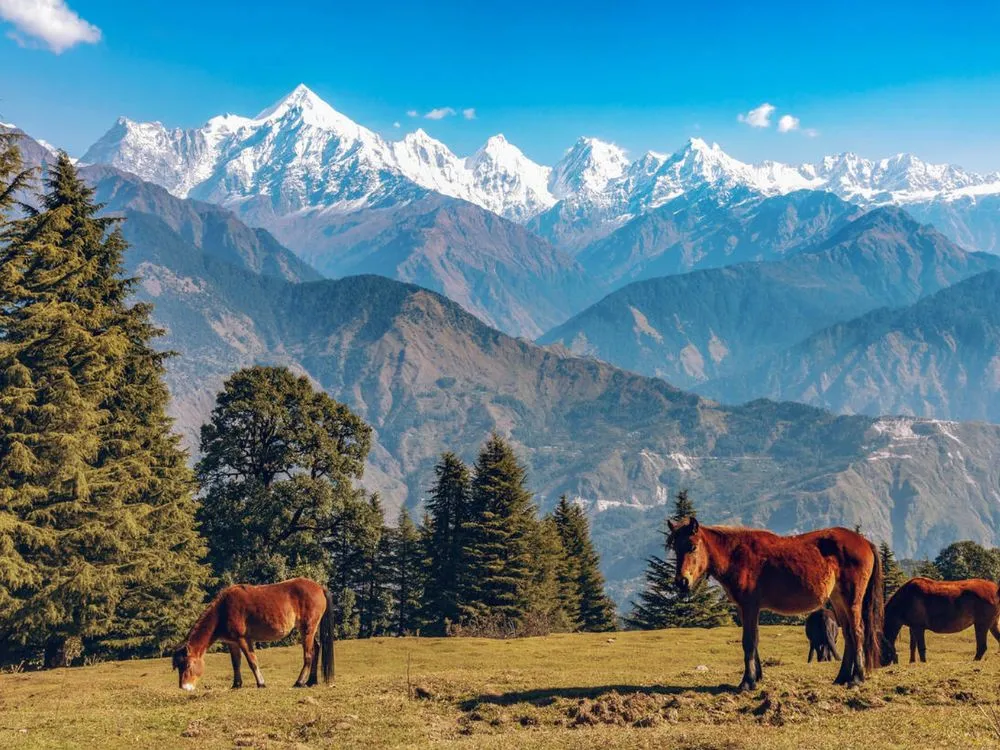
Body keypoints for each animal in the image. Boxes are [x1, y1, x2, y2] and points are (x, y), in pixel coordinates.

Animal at [171, 577, 335, 691]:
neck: (223, 610)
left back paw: (299, 682)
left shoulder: (244, 640)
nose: (184, 687)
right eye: (178, 666)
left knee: (308, 655)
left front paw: (261, 683)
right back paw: (311, 681)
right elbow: (236, 663)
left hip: (307, 629)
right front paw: (236, 684)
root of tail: (319, 587)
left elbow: (252, 661)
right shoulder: (232, 643)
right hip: (309, 630)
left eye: (187, 665)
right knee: (316, 649)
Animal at [666, 517, 882, 690]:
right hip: (838, 600)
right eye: (675, 548)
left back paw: (856, 678)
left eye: (692, 547)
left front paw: (747, 682)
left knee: (857, 632)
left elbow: (749, 641)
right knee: (848, 634)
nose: (681, 581)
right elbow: (755, 640)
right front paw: (756, 677)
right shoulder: (745, 609)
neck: (737, 555)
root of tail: (865, 542)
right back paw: (842, 677)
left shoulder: (750, 606)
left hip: (852, 599)